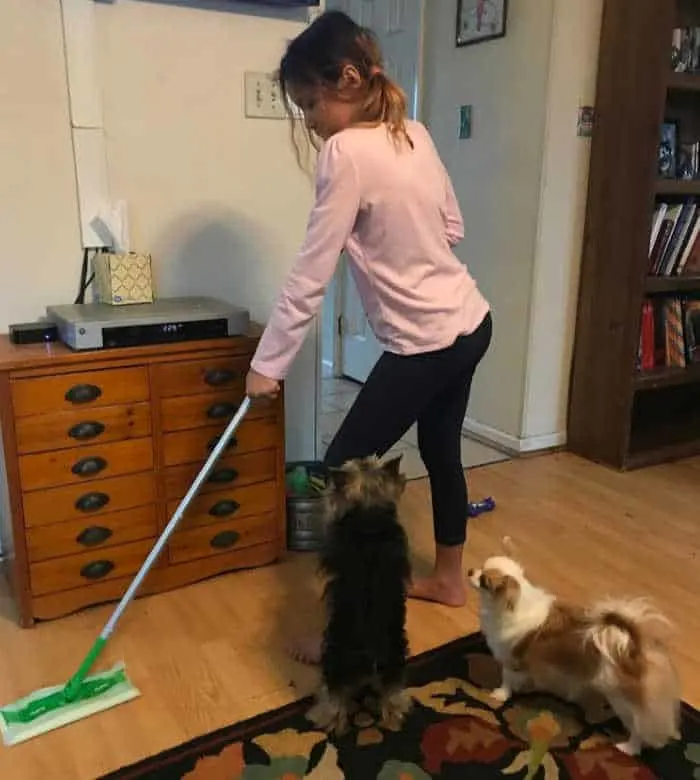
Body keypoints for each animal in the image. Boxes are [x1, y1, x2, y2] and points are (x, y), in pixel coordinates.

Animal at [308, 454, 412, 736]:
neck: (369, 511)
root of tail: (369, 654)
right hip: (395, 659)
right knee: (392, 699)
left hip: (334, 660)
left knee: (335, 704)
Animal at [468, 552, 680, 752]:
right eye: (481, 566)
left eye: (484, 580)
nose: (470, 571)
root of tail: (634, 645)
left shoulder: (511, 658)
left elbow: (506, 678)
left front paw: (500, 695)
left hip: (622, 699)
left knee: (638, 729)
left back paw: (628, 748)